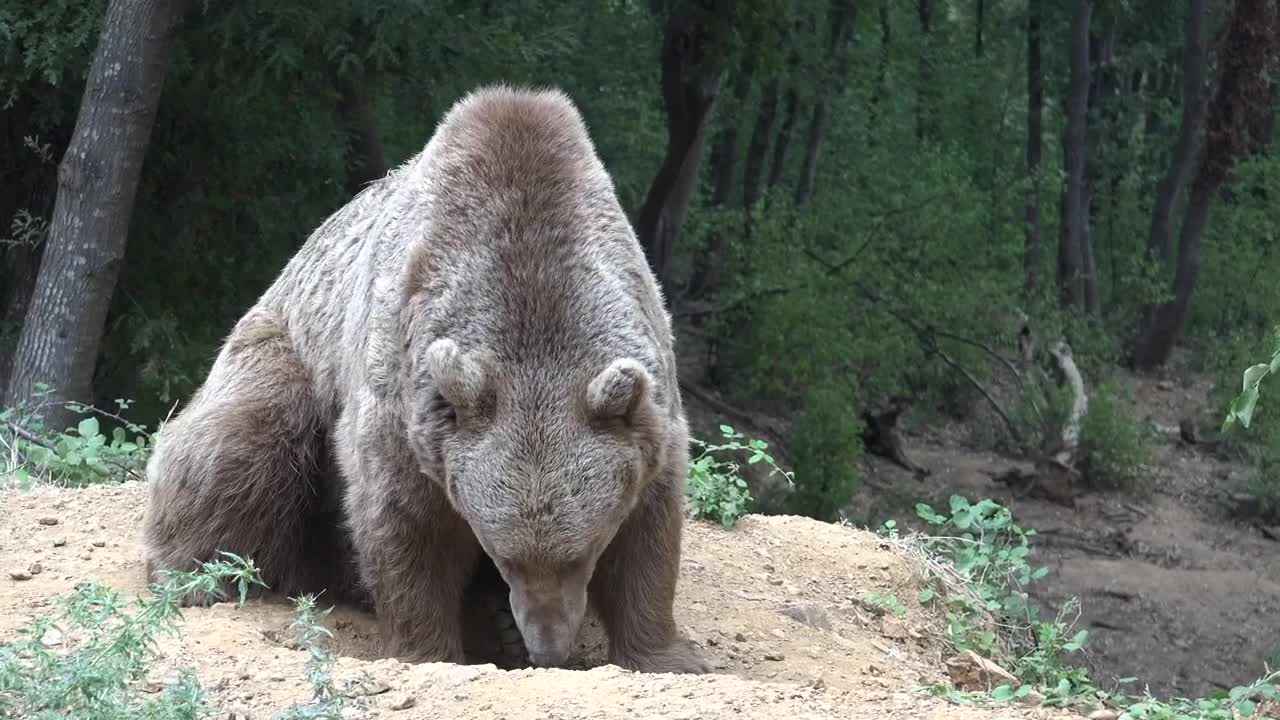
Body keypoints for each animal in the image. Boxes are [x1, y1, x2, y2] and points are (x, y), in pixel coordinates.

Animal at [139, 83, 709, 674]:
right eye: (506, 557)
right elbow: (406, 527)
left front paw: (665, 654)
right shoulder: (405, 395)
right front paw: (428, 650)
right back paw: (196, 574)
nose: (547, 647)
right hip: (280, 353)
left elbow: (649, 534)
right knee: (241, 443)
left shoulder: (648, 409)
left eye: (582, 553)